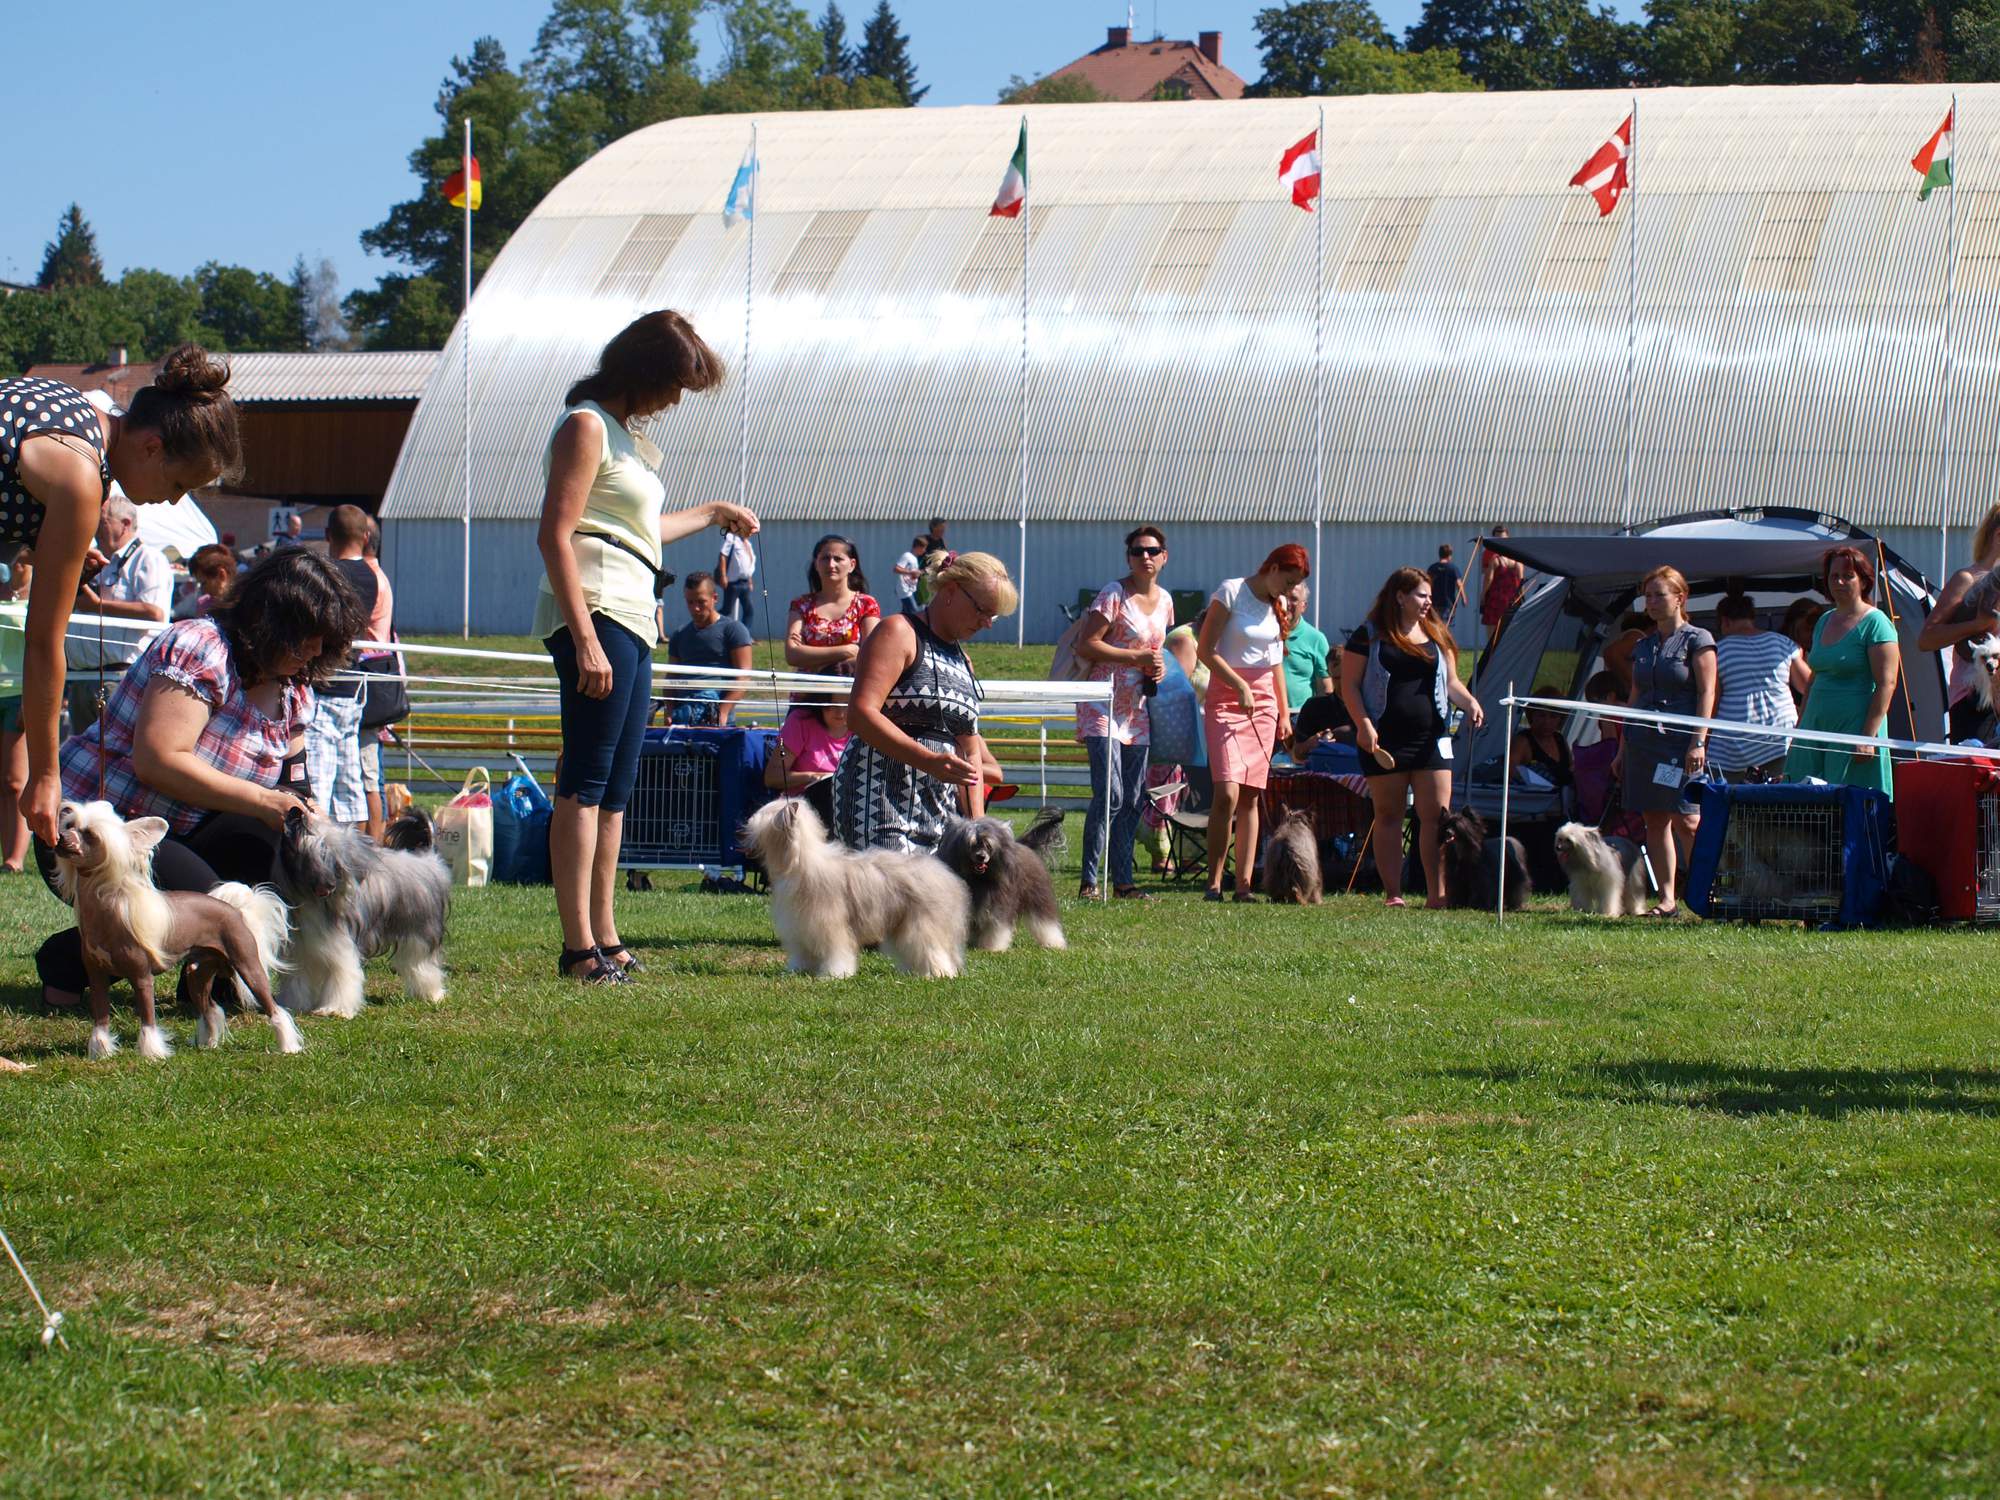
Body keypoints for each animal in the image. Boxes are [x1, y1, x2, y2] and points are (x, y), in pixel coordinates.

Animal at [49, 804, 300, 1064]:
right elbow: (100, 1020)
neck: (104, 916)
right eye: (69, 825)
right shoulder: (97, 978)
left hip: (248, 966)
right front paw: (101, 1052)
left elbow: (148, 1020)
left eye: (90, 835)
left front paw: (152, 1053)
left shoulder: (142, 977)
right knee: (210, 1008)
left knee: (274, 1009)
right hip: (197, 974)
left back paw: (288, 1046)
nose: (59, 837)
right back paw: (209, 1044)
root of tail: (238, 911)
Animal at [276, 800, 452, 1024]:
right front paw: (293, 1004)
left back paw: (432, 994)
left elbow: (344, 976)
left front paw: (336, 1010)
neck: (313, 899)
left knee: (422, 964)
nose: (294, 809)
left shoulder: (341, 948)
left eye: (303, 824)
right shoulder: (301, 950)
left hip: (419, 933)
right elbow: (297, 980)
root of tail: (428, 859)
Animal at [748, 800, 972, 988]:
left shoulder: (830, 924)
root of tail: (945, 876)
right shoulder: (802, 927)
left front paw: (834, 974)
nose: (745, 832)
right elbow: (802, 954)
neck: (800, 862)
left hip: (921, 924)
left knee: (931, 949)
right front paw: (796, 970)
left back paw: (938, 974)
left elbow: (836, 951)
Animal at [932, 824, 1064, 952]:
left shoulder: (999, 905)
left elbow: (997, 927)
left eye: (988, 846)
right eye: (972, 844)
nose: (981, 856)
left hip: (1039, 897)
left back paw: (1054, 943)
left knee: (1046, 922)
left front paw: (993, 947)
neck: (980, 878)